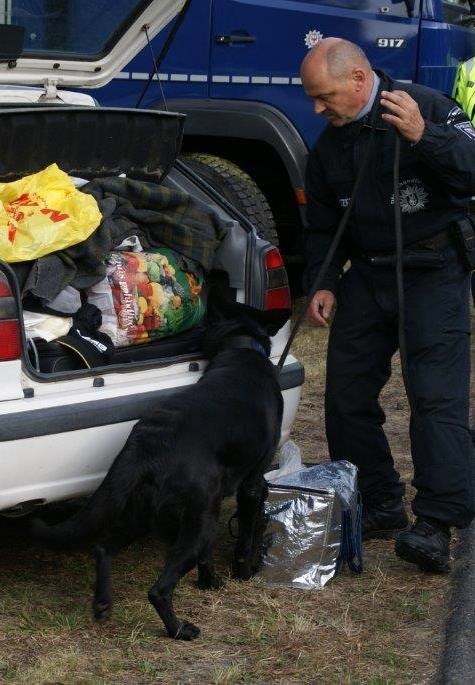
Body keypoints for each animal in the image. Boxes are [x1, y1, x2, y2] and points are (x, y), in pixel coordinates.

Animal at [32, 279, 289, 640]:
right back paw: (180, 629)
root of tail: (148, 445)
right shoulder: (249, 485)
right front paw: (243, 573)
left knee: (102, 548)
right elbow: (246, 535)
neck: (241, 349)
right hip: (191, 521)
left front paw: (209, 583)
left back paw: (103, 604)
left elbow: (208, 556)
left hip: (143, 512)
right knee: (159, 589)